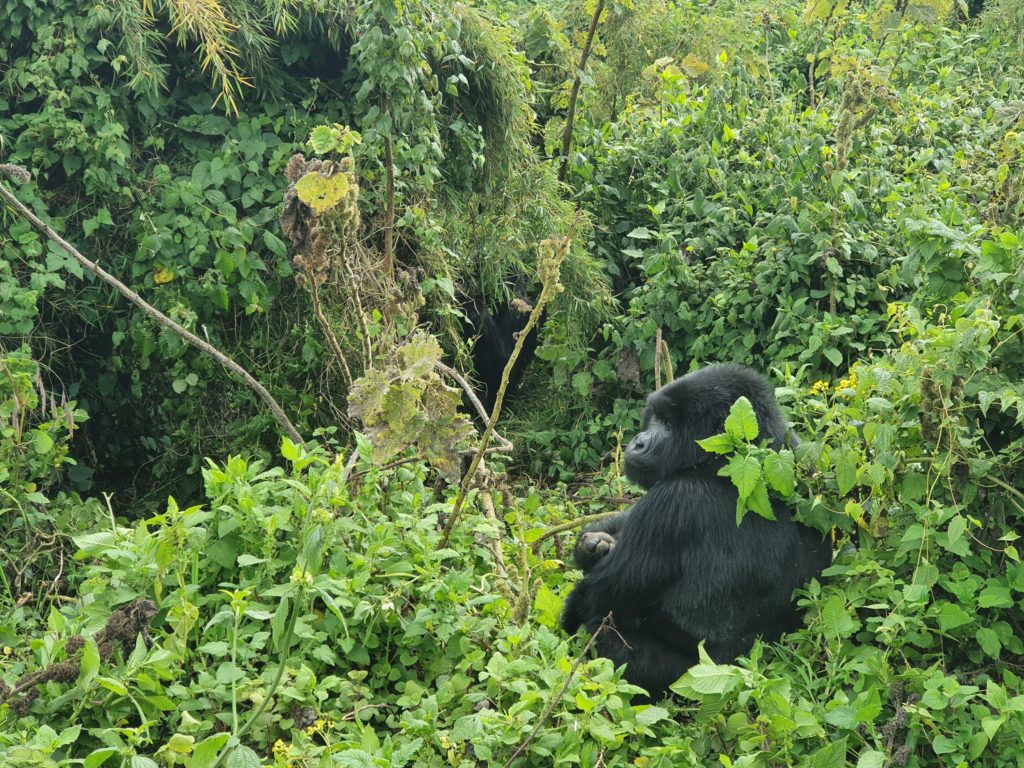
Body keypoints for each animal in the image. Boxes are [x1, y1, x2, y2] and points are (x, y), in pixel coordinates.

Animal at [561, 364, 831, 700]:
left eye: (667, 424)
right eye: (655, 417)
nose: (637, 442)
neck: (730, 457)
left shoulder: (675, 500)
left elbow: (591, 600)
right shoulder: (807, 461)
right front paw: (594, 544)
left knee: (601, 631)